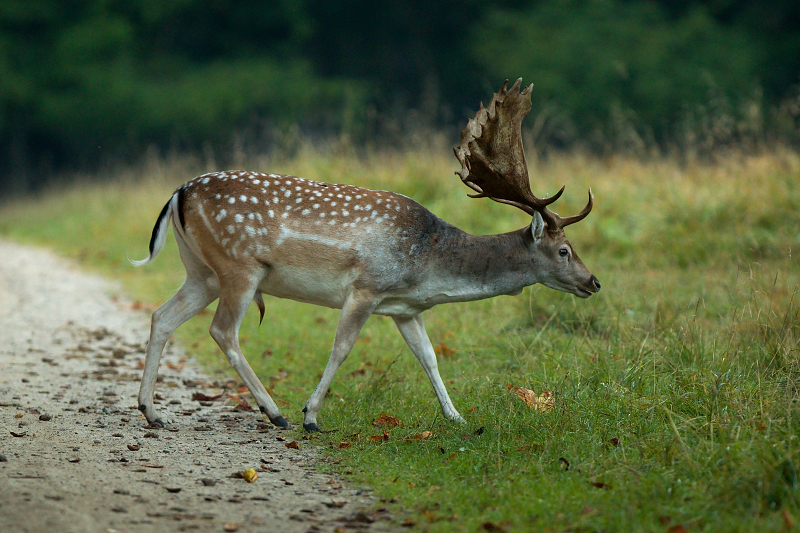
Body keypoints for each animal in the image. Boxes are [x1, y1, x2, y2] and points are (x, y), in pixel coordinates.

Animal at [133, 78, 600, 428]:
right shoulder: (367, 286)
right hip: (239, 265)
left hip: (201, 272)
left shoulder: (406, 308)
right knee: (222, 330)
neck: (429, 265)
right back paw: (275, 412)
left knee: (162, 316)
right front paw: (311, 415)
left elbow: (429, 357)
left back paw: (152, 412)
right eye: (564, 250)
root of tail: (178, 193)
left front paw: (457, 418)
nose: (593, 281)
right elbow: (341, 347)